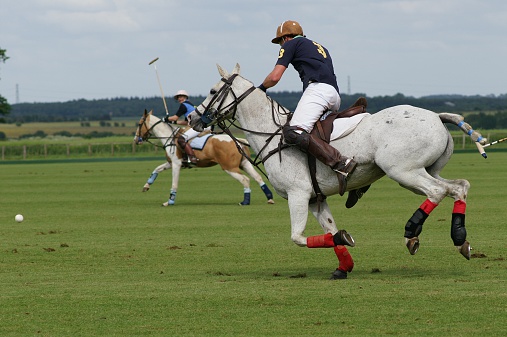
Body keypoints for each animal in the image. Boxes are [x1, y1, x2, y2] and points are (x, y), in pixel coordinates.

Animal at [134, 109, 274, 205]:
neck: (169, 137)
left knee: (245, 179)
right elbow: (157, 169)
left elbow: (174, 183)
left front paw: (169, 202)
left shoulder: (176, 164)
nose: (136, 139)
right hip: (244, 163)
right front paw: (146, 186)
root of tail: (238, 141)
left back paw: (245, 201)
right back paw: (270, 198)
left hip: (229, 167)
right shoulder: (170, 162)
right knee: (257, 177)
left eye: (140, 123)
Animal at [190, 63, 488, 278]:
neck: (271, 134)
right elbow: (331, 231)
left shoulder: (299, 194)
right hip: (426, 169)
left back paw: (411, 234)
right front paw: (343, 263)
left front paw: (344, 247)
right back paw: (460, 240)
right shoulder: (315, 198)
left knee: (437, 191)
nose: (193, 117)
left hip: (403, 171)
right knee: (459, 187)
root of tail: (437, 116)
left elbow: (297, 237)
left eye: (212, 91)